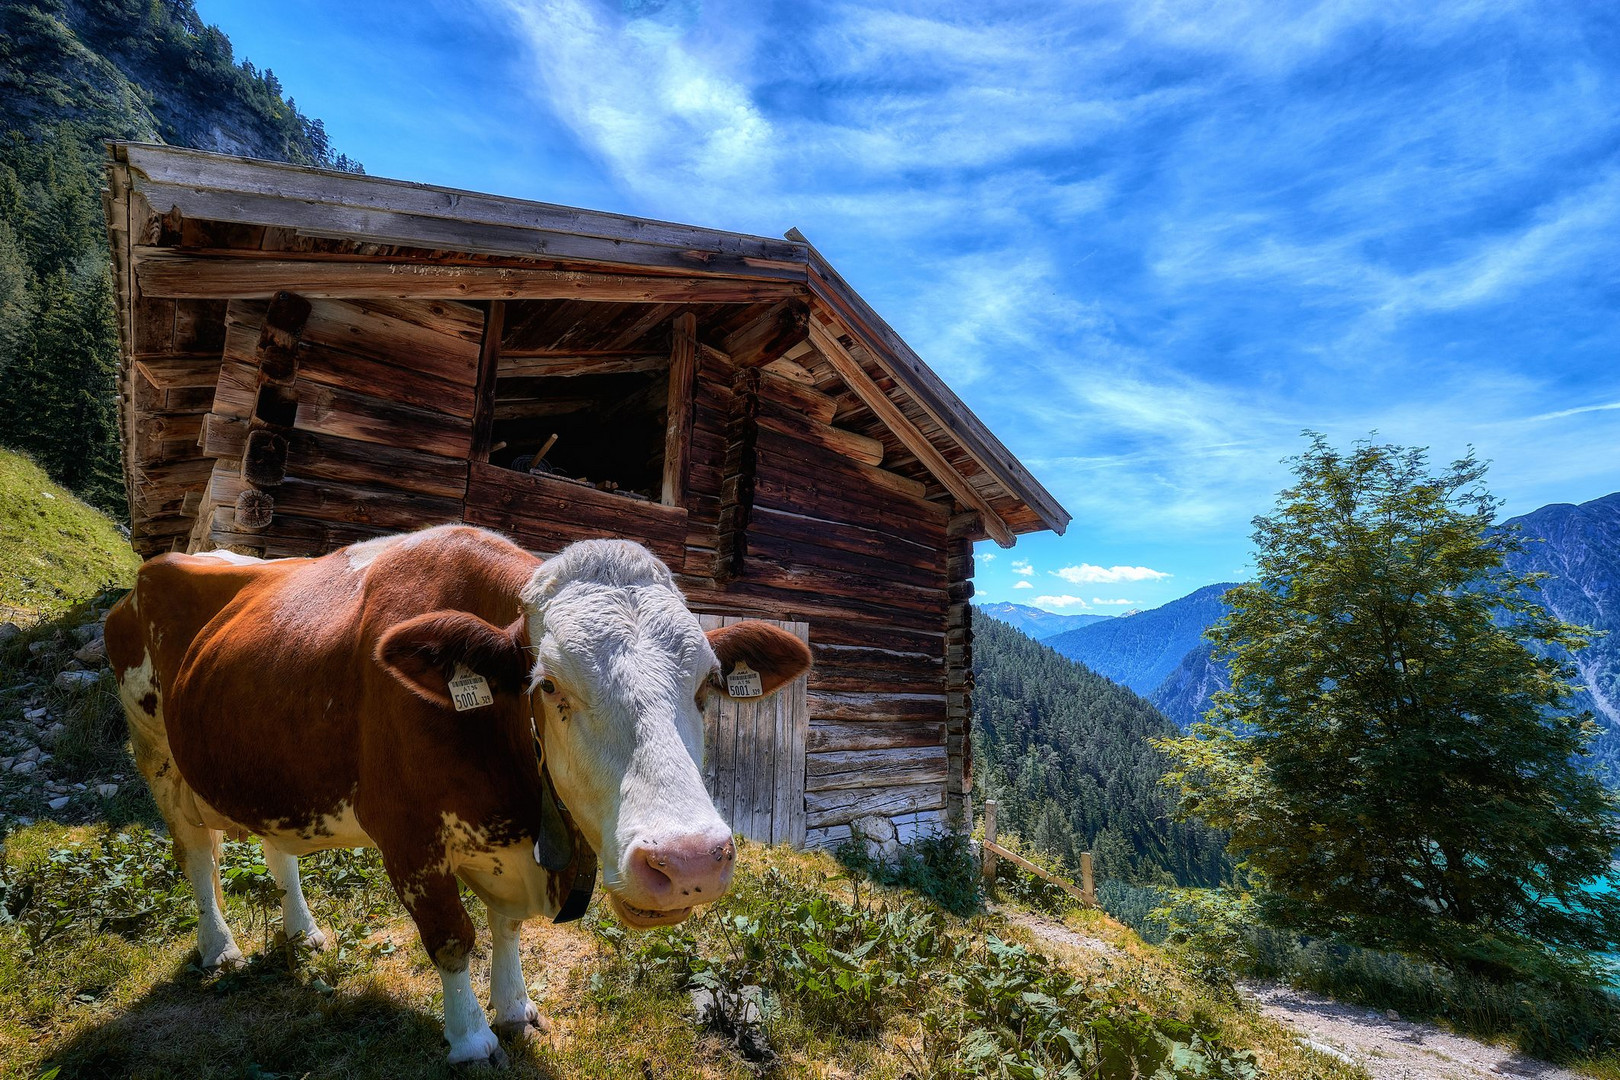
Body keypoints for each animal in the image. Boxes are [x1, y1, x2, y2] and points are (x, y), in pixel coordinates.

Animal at [102, 527, 810, 1068]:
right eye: (548, 685)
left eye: (707, 685)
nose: (688, 861)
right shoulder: (408, 836)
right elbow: (450, 936)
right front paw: (470, 1038)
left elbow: (505, 927)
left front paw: (516, 1008)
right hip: (156, 756)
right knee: (198, 857)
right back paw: (219, 948)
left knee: (279, 852)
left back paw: (304, 934)